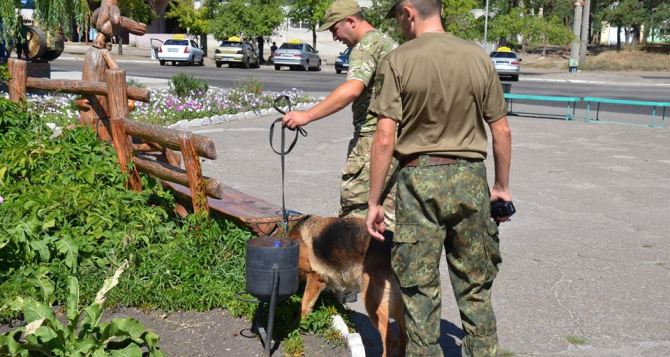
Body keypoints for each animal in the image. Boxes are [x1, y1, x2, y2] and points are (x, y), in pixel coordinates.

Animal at [288, 214, 406, 356]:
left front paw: (302, 322)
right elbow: (337, 296)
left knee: (391, 341)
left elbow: (305, 304)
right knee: (404, 337)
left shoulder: (315, 278)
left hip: (374, 303)